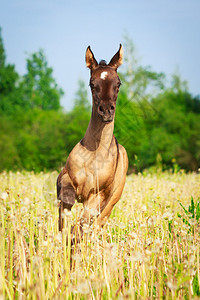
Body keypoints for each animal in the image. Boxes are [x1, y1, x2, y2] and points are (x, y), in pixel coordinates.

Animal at [56, 44, 128, 241]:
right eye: (91, 83)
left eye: (118, 83)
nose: (106, 110)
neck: (95, 154)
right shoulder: (65, 178)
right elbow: (65, 205)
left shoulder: (99, 196)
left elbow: (81, 226)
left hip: (110, 206)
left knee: (96, 226)